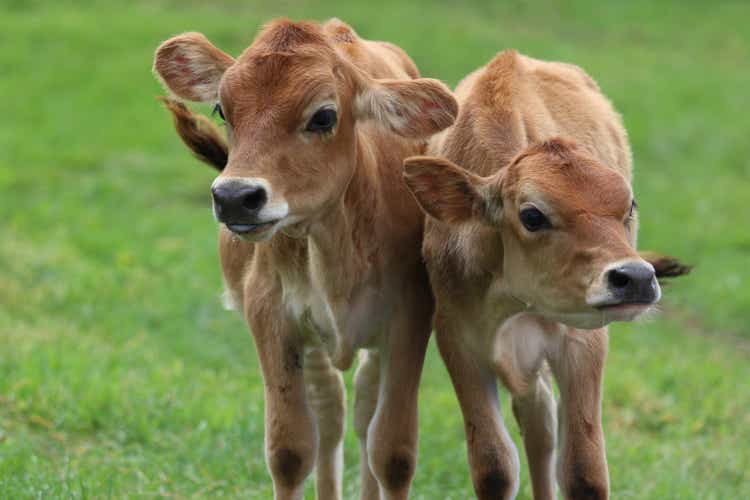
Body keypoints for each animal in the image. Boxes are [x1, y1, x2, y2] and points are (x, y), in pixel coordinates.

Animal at [153, 18, 458, 500]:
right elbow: (291, 450)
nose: (235, 197)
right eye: (222, 109)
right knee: (331, 413)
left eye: (323, 116)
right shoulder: (270, 315)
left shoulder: (410, 315)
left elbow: (392, 452)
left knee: (363, 411)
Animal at [408, 48, 692, 498]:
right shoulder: (457, 338)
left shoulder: (584, 342)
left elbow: (583, 472)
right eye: (532, 215)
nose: (635, 277)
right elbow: (493, 466)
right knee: (537, 421)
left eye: (629, 205)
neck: (512, 300)